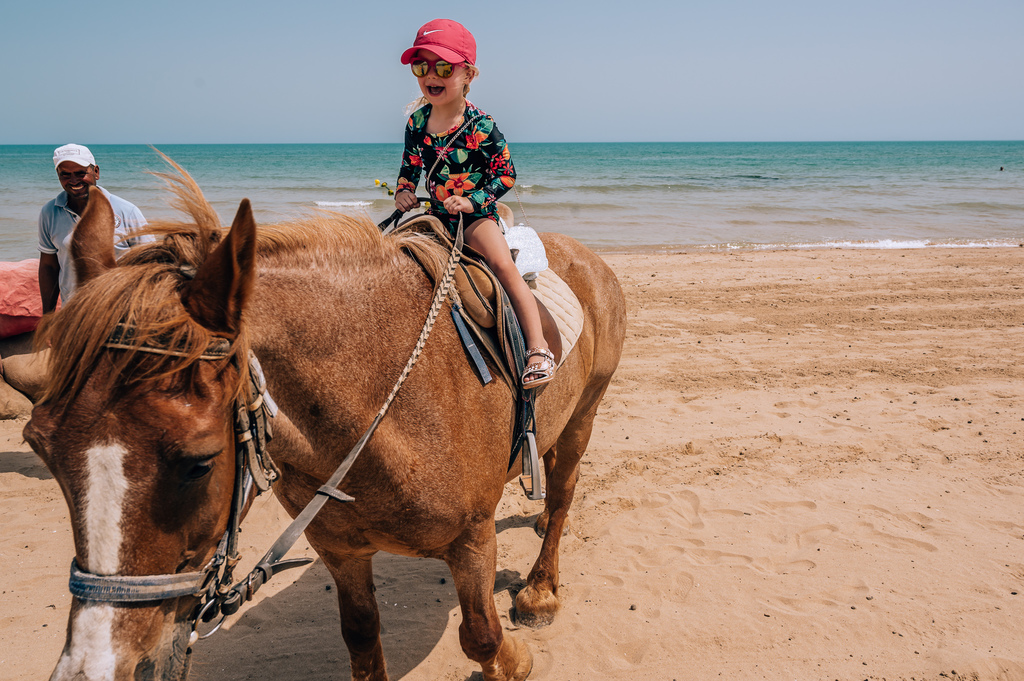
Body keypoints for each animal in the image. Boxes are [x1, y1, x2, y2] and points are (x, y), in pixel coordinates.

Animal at [24, 165, 626, 679]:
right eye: (41, 448)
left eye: (200, 463)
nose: (97, 671)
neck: (382, 405)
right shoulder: (339, 549)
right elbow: (360, 637)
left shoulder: (471, 538)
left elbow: (481, 637)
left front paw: (515, 659)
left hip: (585, 413)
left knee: (564, 492)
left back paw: (541, 590)